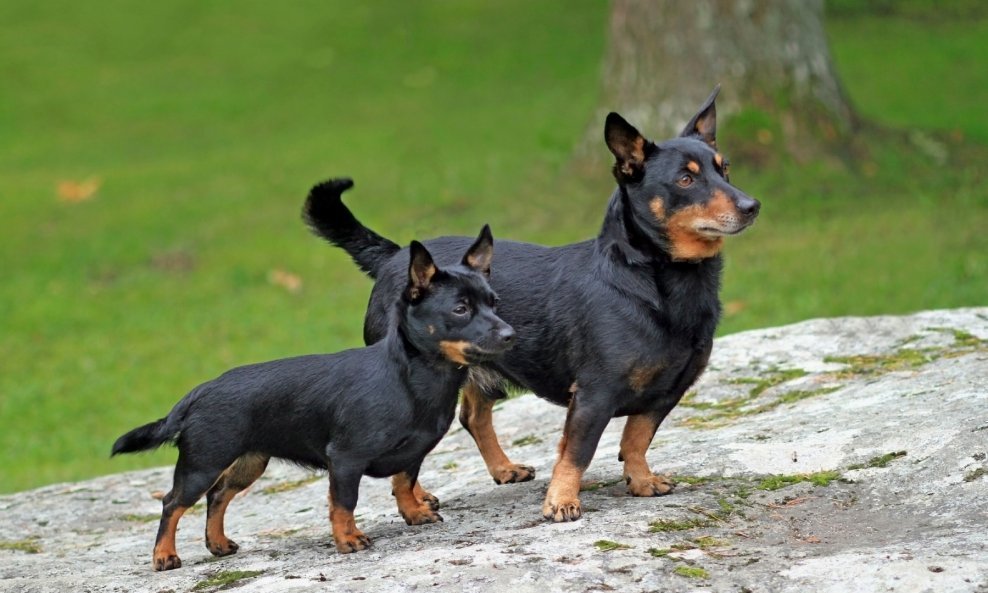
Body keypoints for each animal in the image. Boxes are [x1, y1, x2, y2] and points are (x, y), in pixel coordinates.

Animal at [111, 224, 512, 568]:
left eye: (494, 303)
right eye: (460, 309)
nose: (510, 334)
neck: (411, 378)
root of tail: (198, 392)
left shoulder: (413, 452)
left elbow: (404, 482)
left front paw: (412, 513)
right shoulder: (346, 460)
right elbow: (344, 503)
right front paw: (348, 539)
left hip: (249, 462)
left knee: (218, 495)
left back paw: (218, 544)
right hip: (203, 464)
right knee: (173, 503)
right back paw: (164, 556)